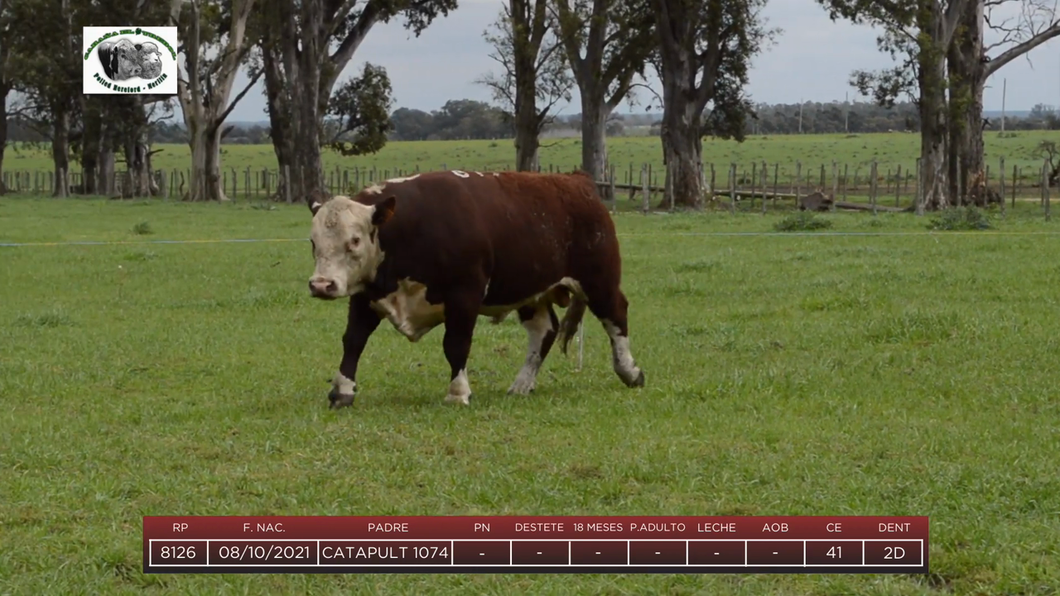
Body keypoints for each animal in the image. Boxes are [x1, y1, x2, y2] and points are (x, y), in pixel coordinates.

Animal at [303, 169, 640, 405]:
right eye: (313, 241)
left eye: (355, 240)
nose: (321, 284)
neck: (409, 228)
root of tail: (577, 181)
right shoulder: (366, 295)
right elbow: (353, 341)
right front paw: (342, 391)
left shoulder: (464, 295)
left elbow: (455, 344)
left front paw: (458, 392)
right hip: (530, 291)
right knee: (543, 331)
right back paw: (521, 385)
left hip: (599, 280)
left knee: (616, 317)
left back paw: (630, 371)